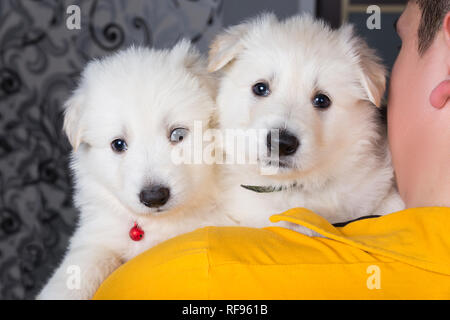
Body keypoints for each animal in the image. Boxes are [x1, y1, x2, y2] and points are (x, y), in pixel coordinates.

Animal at [37, 41, 232, 298]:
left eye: (178, 134)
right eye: (118, 144)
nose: (154, 196)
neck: (157, 223)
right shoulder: (98, 236)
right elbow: (78, 270)